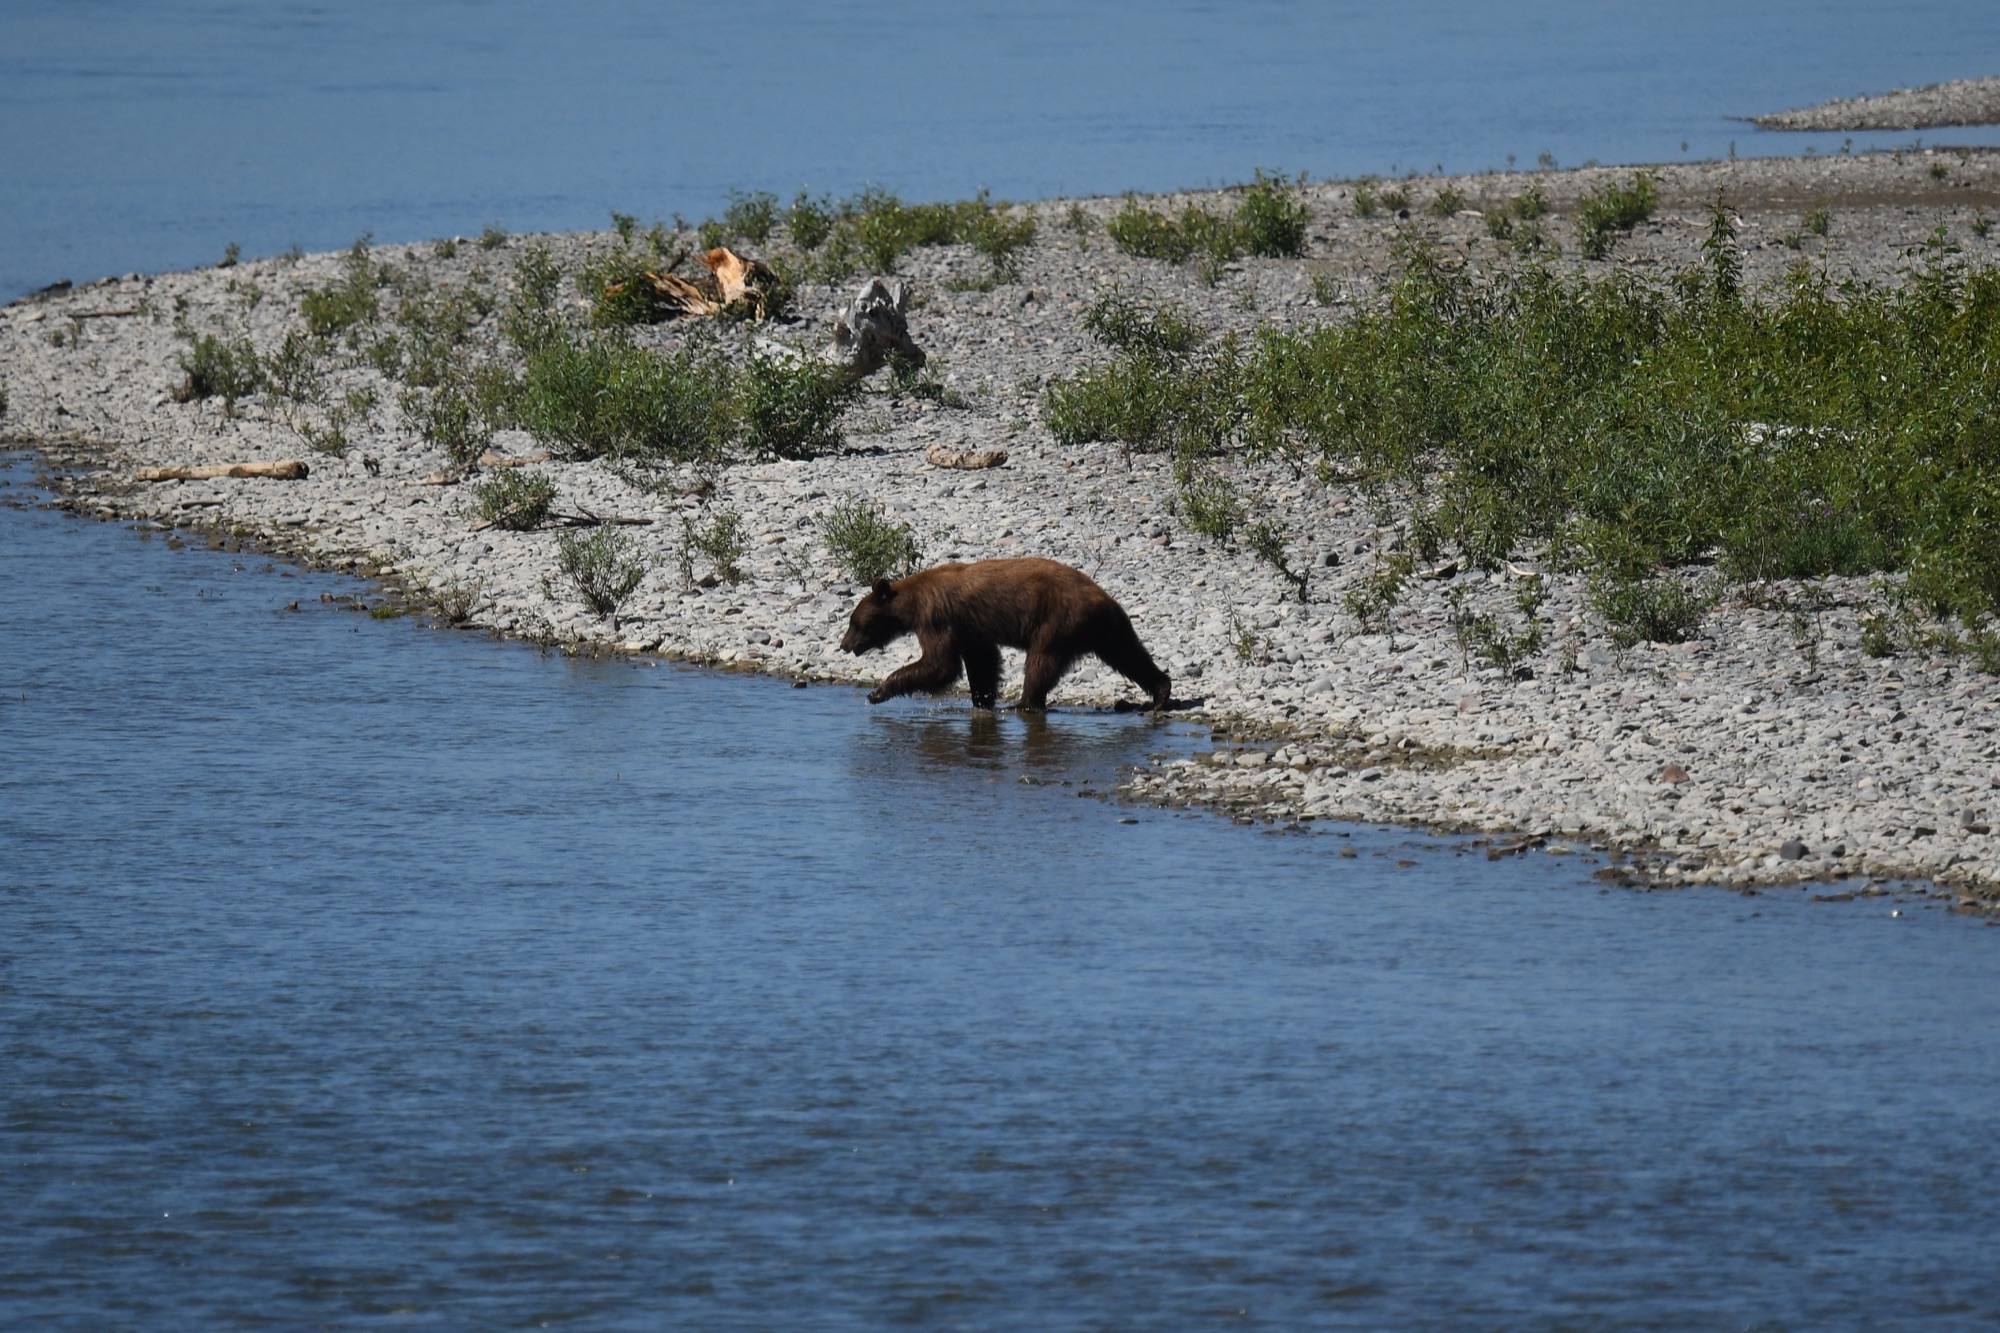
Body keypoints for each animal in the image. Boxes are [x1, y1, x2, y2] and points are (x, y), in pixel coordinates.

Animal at [832, 556, 1168, 712]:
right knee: (1129, 655)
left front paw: (878, 692)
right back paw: (1161, 691)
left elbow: (940, 664)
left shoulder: (936, 617)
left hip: (1058, 620)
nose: (844, 645)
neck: (911, 604)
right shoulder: (971, 629)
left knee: (1041, 661)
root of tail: (1102, 599)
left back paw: (1024, 703)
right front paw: (982, 700)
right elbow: (982, 662)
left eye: (853, 621)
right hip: (1108, 627)